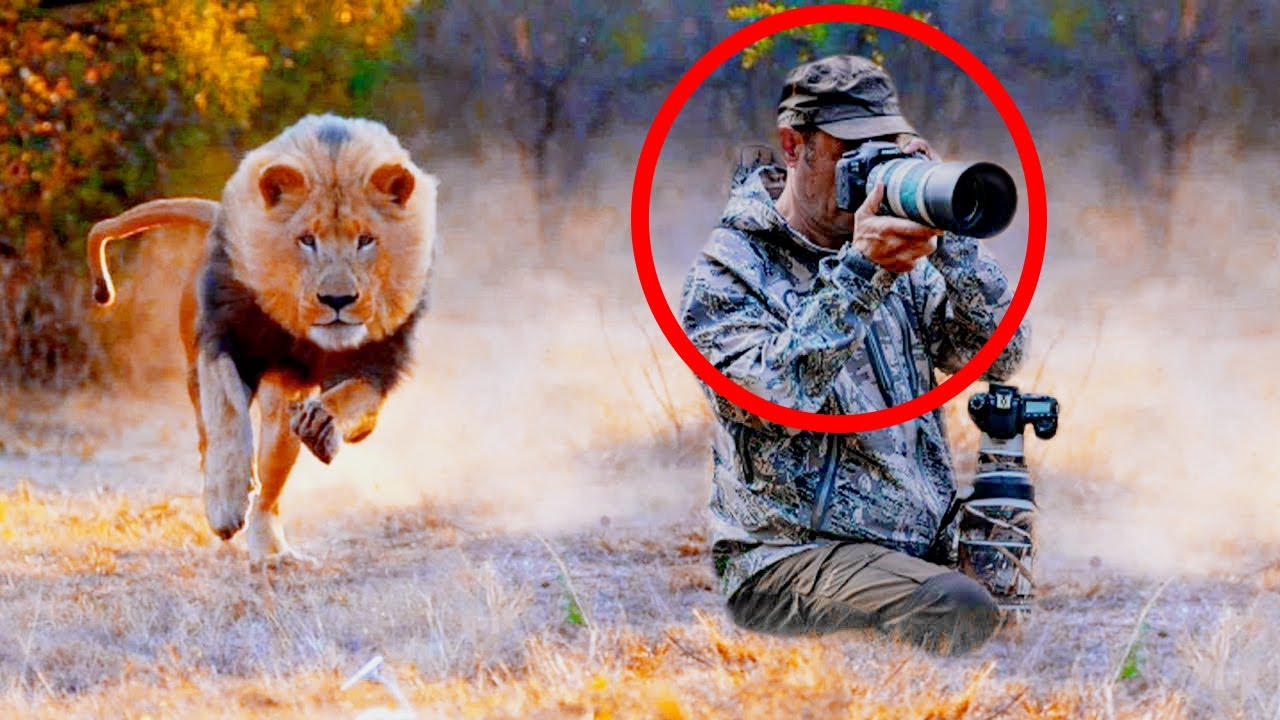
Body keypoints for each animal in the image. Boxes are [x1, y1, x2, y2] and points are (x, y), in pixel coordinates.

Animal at [87, 114, 438, 564]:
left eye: (366, 240)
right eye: (307, 239)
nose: (337, 300)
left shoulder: (377, 366)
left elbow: (351, 398)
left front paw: (322, 425)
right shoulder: (225, 342)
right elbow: (227, 416)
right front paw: (225, 501)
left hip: (281, 408)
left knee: (271, 492)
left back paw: (272, 551)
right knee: (207, 436)